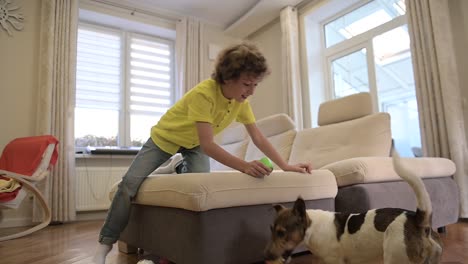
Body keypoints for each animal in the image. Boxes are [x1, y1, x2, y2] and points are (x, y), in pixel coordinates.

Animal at [266, 150, 440, 262]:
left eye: (281, 233)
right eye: (271, 230)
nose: (266, 257)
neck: (312, 226)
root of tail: (417, 219)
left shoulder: (334, 261)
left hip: (395, 257)